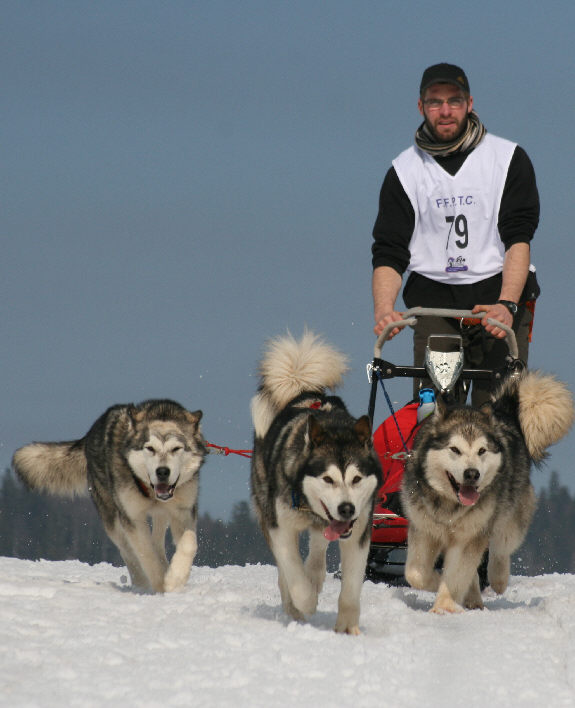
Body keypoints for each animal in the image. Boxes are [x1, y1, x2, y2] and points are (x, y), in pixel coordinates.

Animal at [12, 398, 207, 592]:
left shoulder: (183, 511)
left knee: (156, 541)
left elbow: (189, 545)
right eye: (150, 448)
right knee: (128, 551)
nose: (163, 472)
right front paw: (161, 586)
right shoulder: (132, 517)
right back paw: (141, 583)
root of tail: (91, 432)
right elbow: (146, 555)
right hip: (112, 519)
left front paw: (175, 579)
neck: (150, 492)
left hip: (160, 515)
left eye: (176, 448)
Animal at [250, 332, 380, 636]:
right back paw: (294, 603)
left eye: (356, 478)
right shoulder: (280, 527)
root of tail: (305, 394)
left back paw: (316, 572)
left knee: (319, 544)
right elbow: (293, 574)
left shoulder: (359, 532)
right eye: (328, 478)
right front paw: (305, 601)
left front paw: (347, 627)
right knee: (286, 571)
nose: (346, 509)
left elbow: (351, 587)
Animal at [402, 370, 572, 612]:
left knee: (501, 547)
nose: (472, 474)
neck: (450, 506)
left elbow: (456, 575)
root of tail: (502, 411)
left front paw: (444, 607)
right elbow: (415, 574)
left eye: (482, 451)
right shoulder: (424, 530)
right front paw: (437, 582)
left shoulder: (471, 535)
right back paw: (472, 596)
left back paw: (498, 579)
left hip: (509, 515)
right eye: (455, 449)